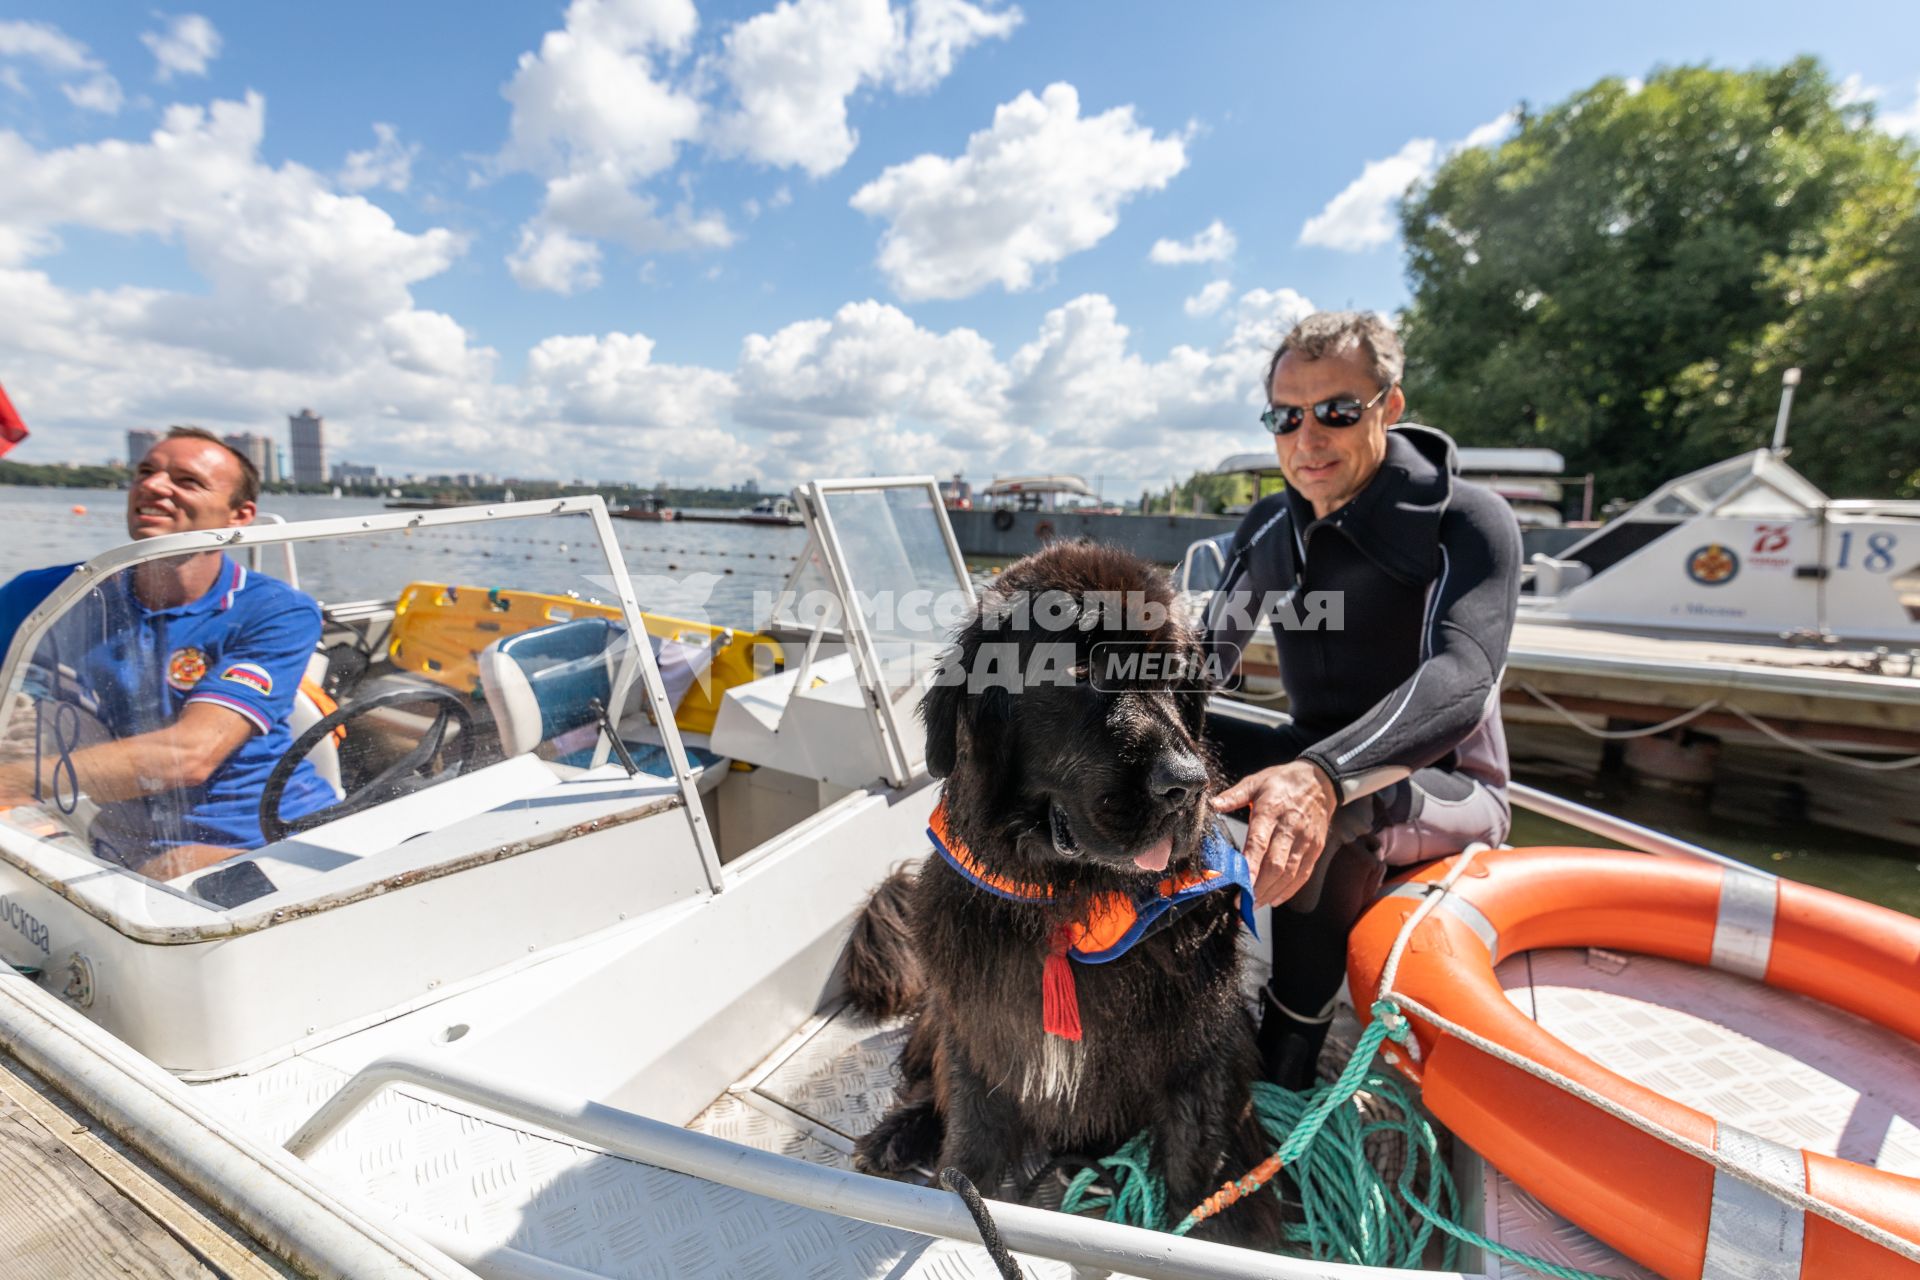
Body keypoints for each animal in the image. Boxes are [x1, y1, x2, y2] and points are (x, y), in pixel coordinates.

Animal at [848, 545, 1282, 1251]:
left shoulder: (1199, 1040)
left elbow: (1199, 1156)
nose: (1185, 783)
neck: (1068, 906)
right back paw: (895, 1135)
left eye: (1173, 677)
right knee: (922, 1072)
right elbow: (969, 1140)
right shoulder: (978, 1026)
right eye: (1080, 670)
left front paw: (1217, 1229)